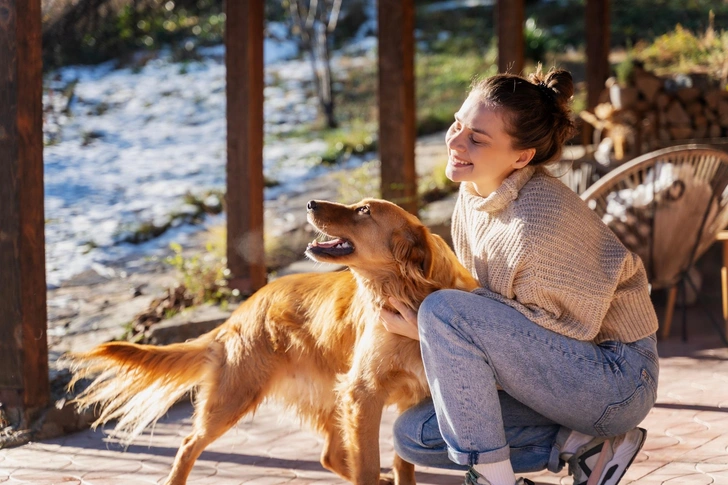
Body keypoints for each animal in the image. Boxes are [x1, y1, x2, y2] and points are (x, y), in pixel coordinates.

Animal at [67, 198, 478, 484]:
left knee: (330, 455)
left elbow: (401, 464)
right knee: (187, 445)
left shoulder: (411, 396)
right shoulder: (363, 393)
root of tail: (242, 310)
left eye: (363, 210)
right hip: (236, 398)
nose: (311, 203)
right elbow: (367, 463)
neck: (407, 293)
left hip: (326, 394)